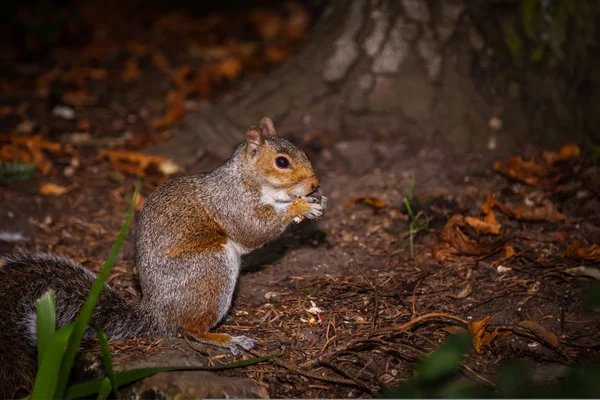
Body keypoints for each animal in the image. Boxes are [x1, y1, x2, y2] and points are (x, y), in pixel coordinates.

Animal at [0, 116, 328, 396]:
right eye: (281, 162)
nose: (315, 184)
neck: (248, 179)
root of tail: (157, 311)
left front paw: (314, 202)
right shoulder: (233, 203)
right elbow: (253, 229)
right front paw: (301, 207)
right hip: (210, 267)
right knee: (189, 329)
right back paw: (225, 339)